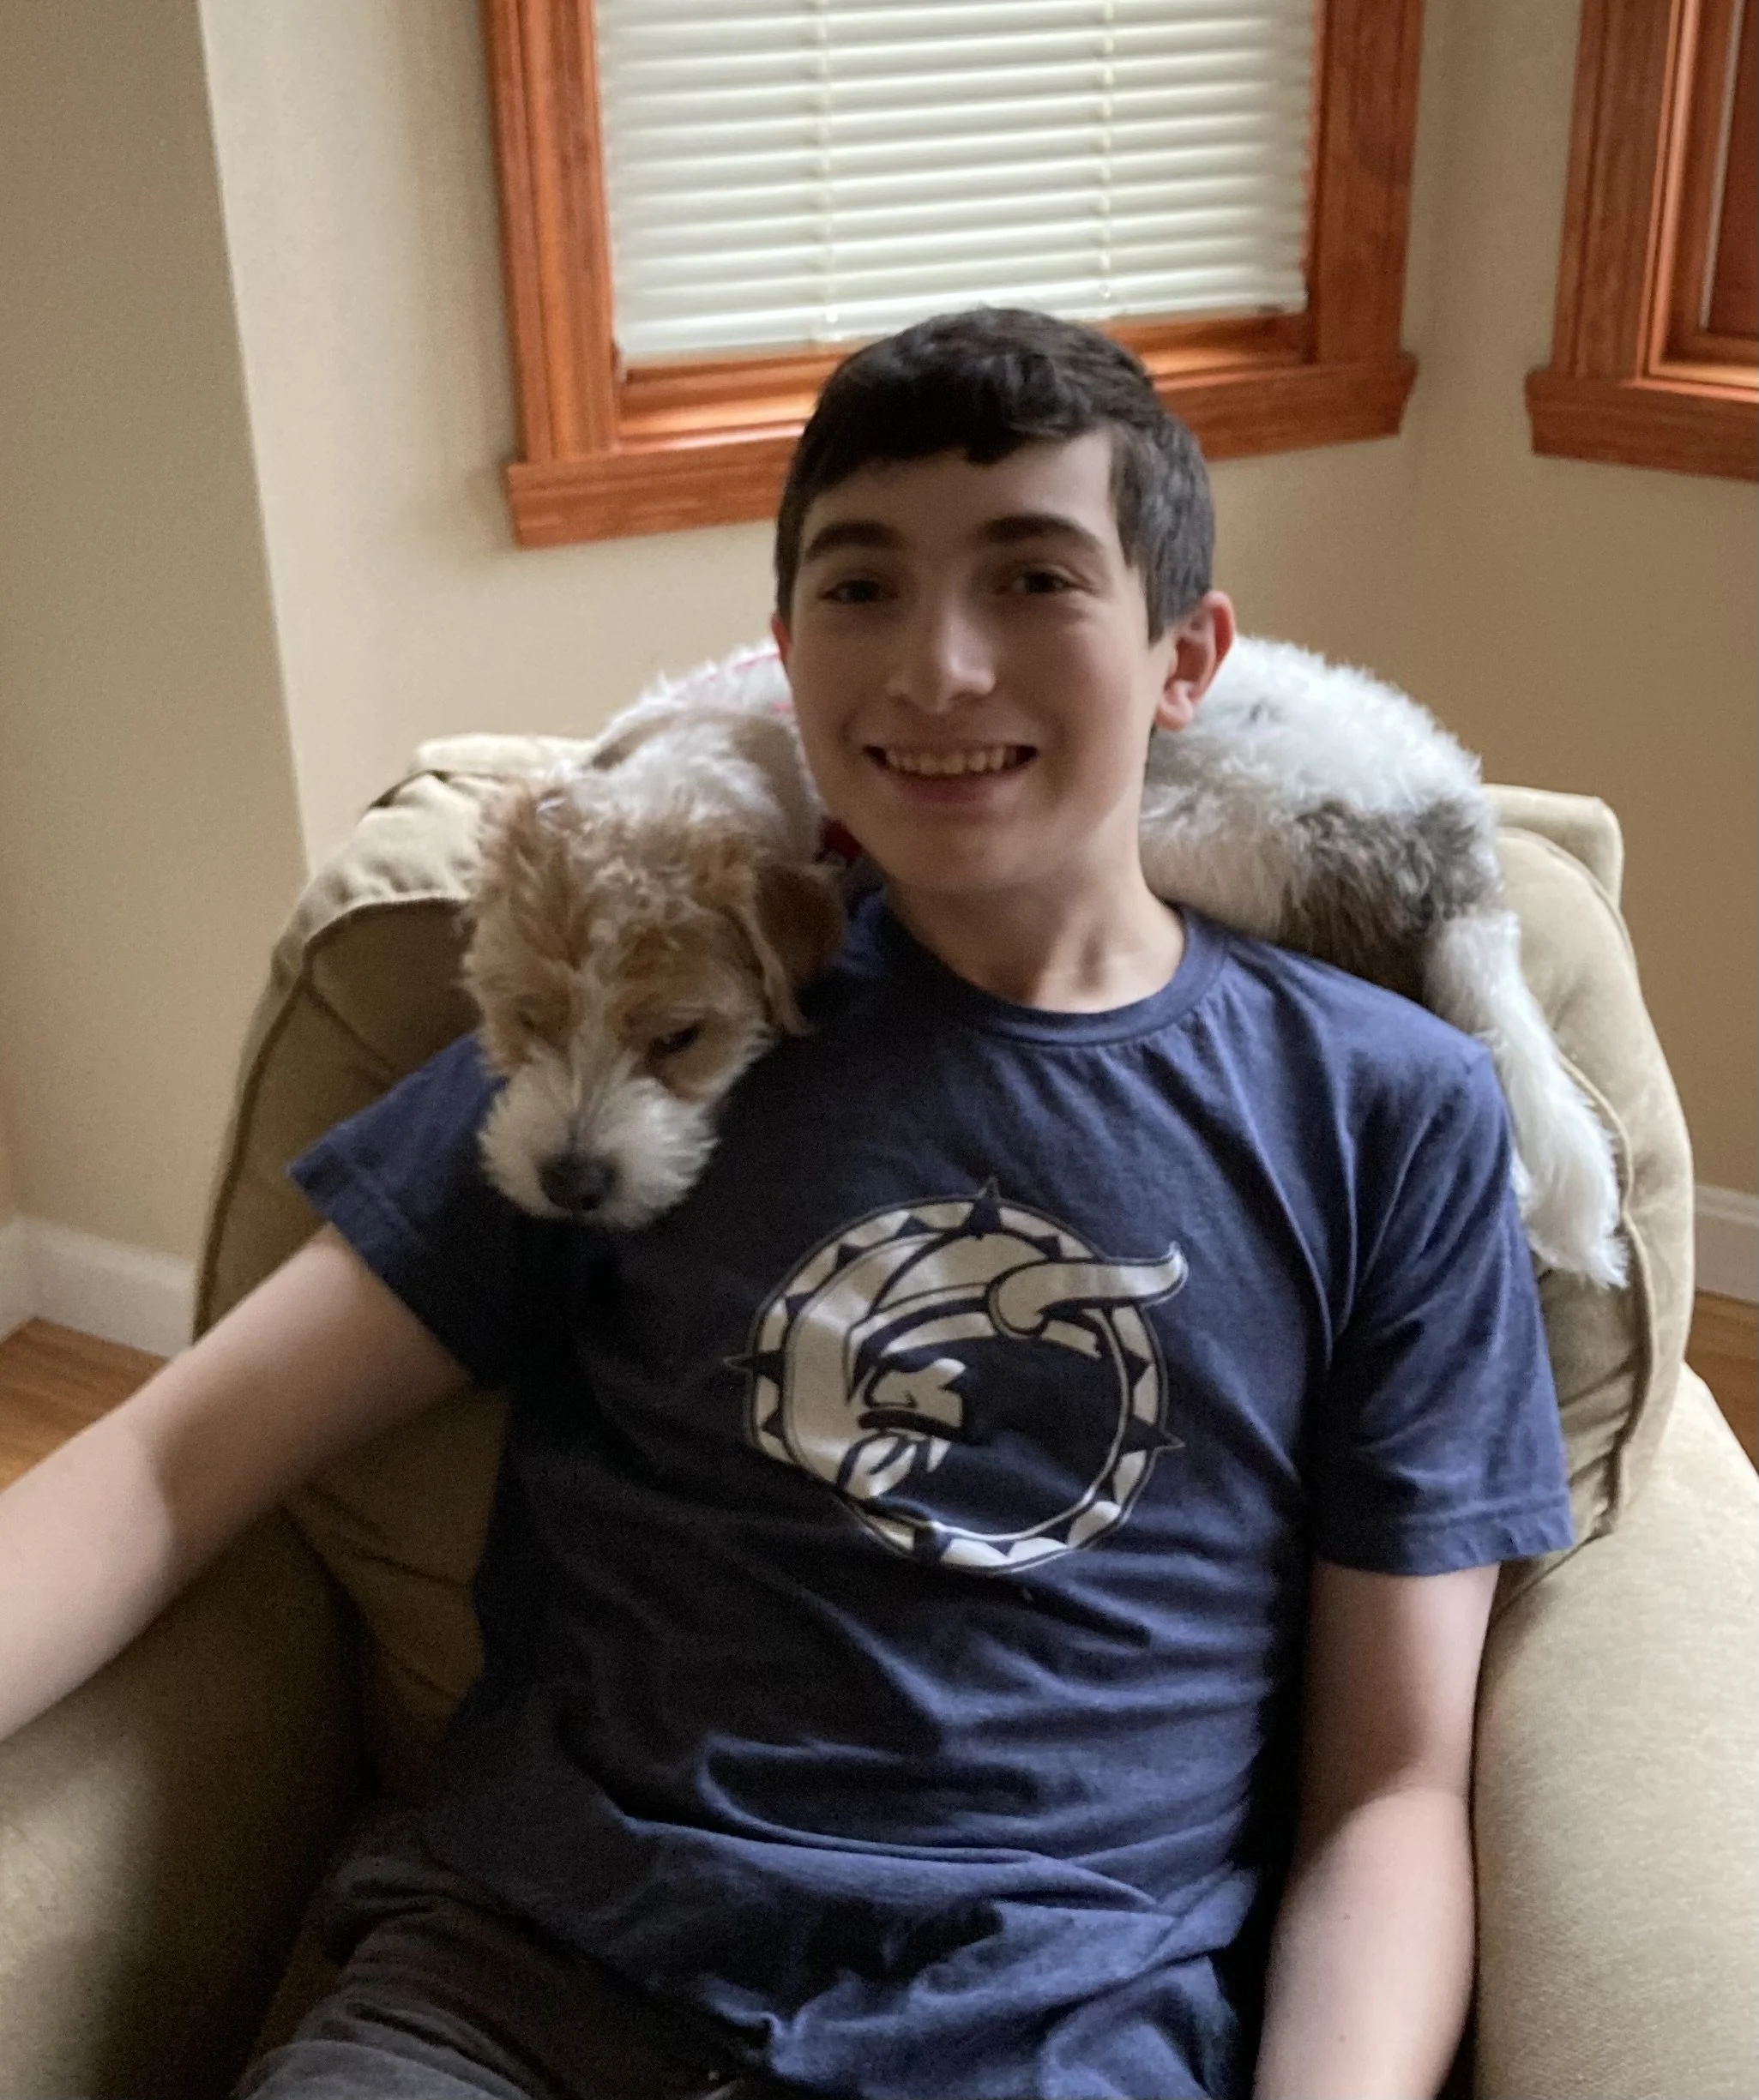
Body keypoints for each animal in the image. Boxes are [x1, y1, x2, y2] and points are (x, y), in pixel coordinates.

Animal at [465, 638, 1623, 1286]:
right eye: (524, 1017)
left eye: (679, 1037)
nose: (567, 1182)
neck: (727, 749)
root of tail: (1452, 845)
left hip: (1167, 839)